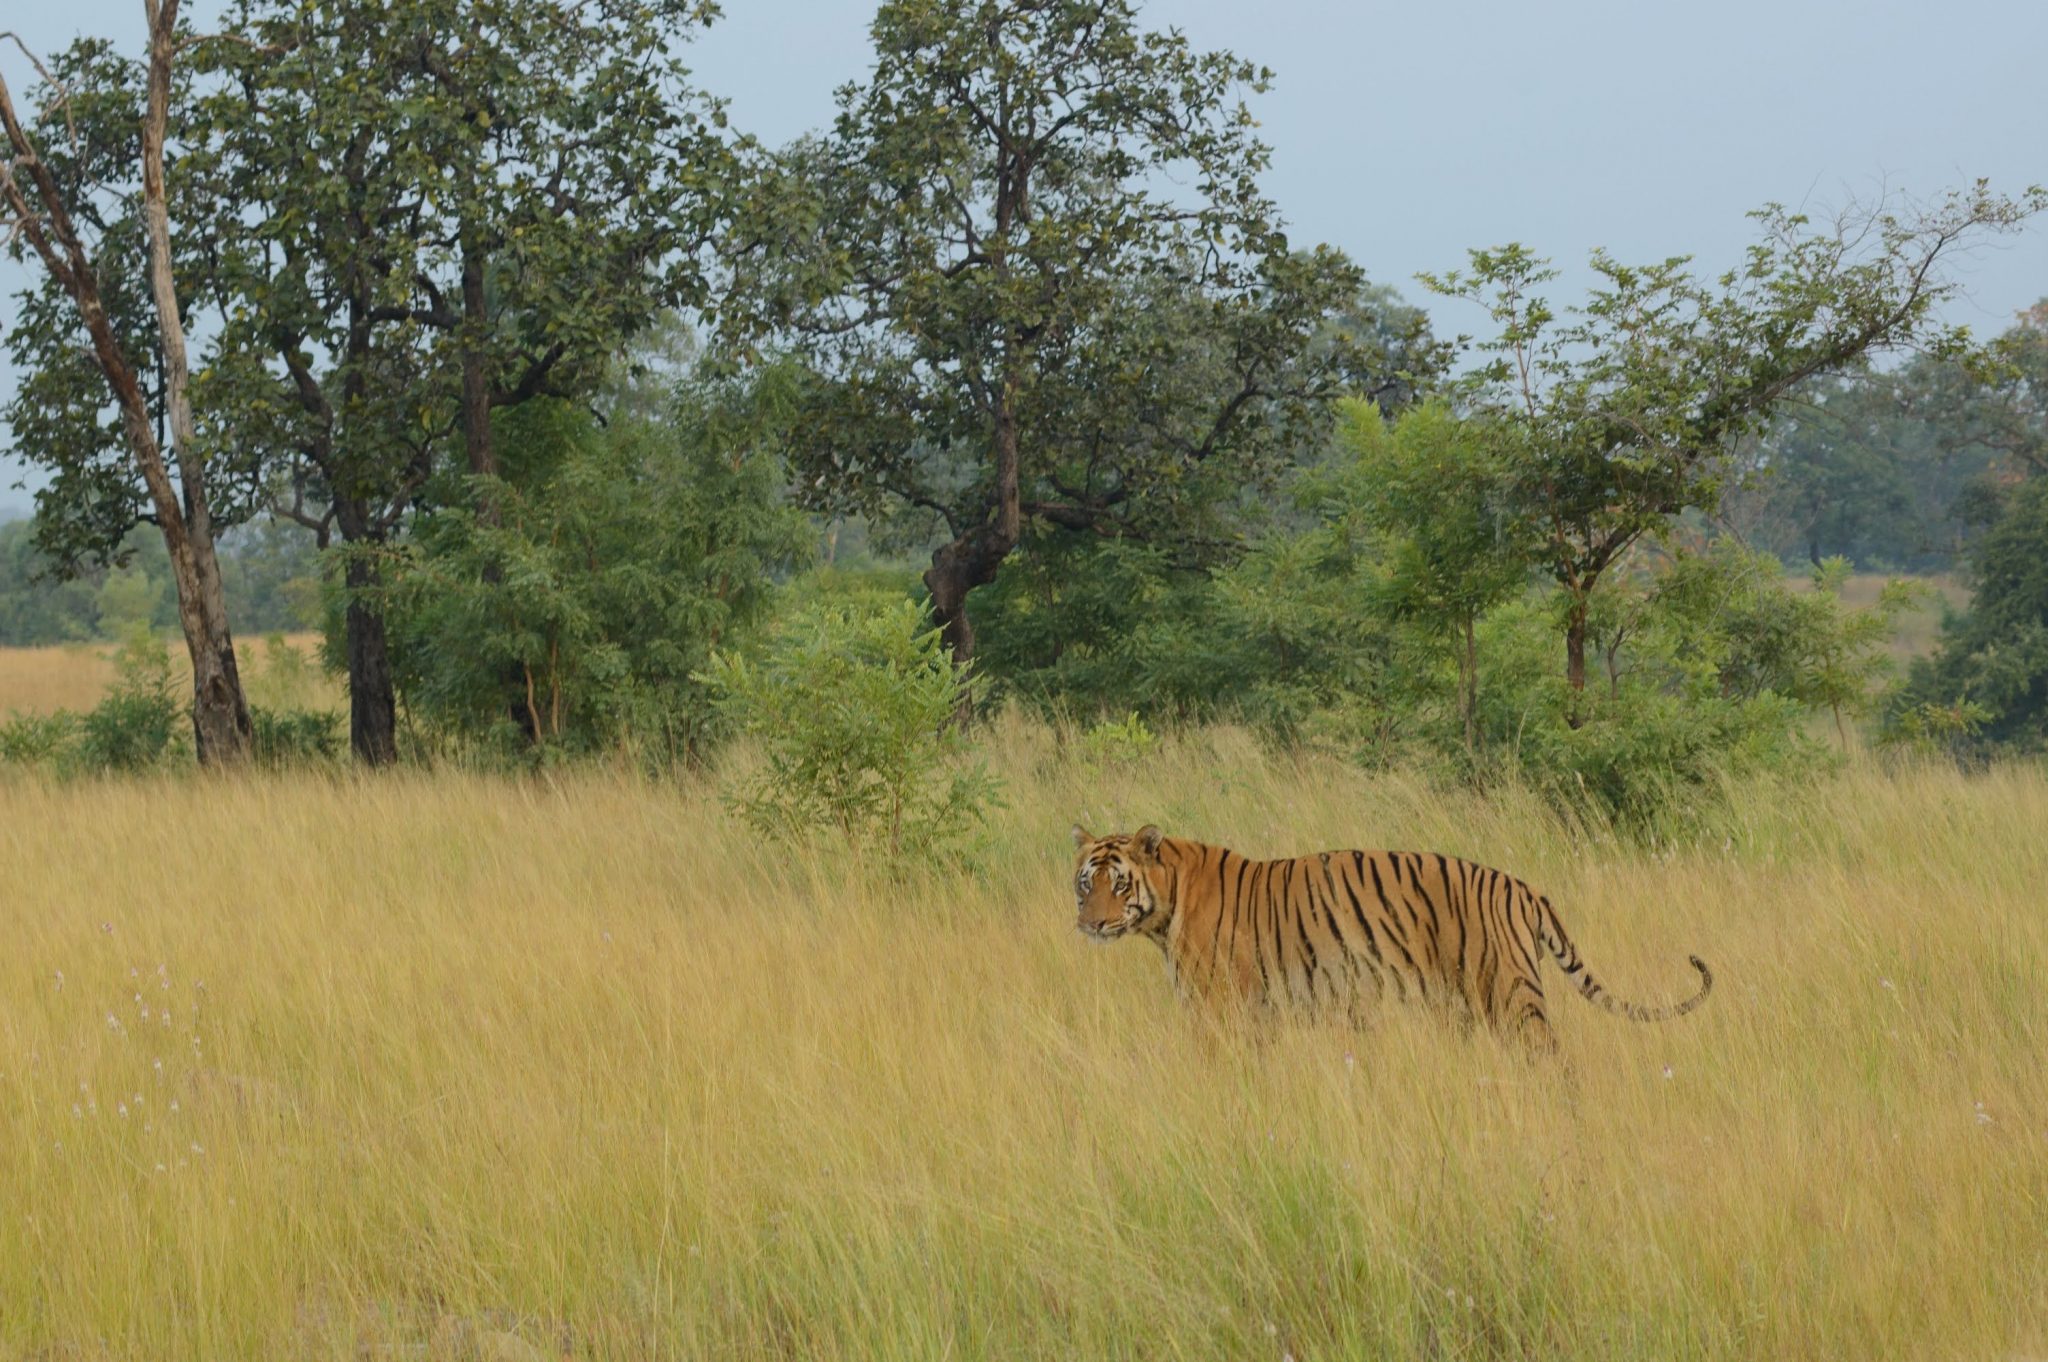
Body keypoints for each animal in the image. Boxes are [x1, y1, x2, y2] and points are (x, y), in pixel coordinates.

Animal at [1071, 824, 1711, 1049]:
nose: (1091, 923)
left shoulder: (1221, 1008)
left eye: (1118, 884)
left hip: (1511, 996)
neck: (1165, 907)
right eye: (1085, 883)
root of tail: (1523, 886)